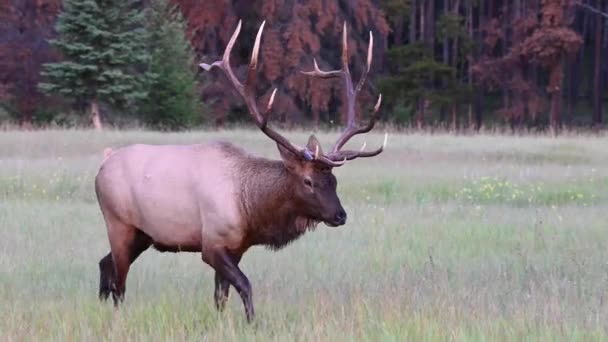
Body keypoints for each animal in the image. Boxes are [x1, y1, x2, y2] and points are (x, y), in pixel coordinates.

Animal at [97, 20, 388, 322]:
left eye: (334, 180)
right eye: (308, 181)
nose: (340, 215)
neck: (250, 210)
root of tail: (104, 162)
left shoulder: (236, 248)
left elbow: (220, 297)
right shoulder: (212, 244)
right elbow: (245, 285)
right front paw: (252, 322)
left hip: (142, 234)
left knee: (105, 264)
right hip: (118, 223)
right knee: (119, 282)